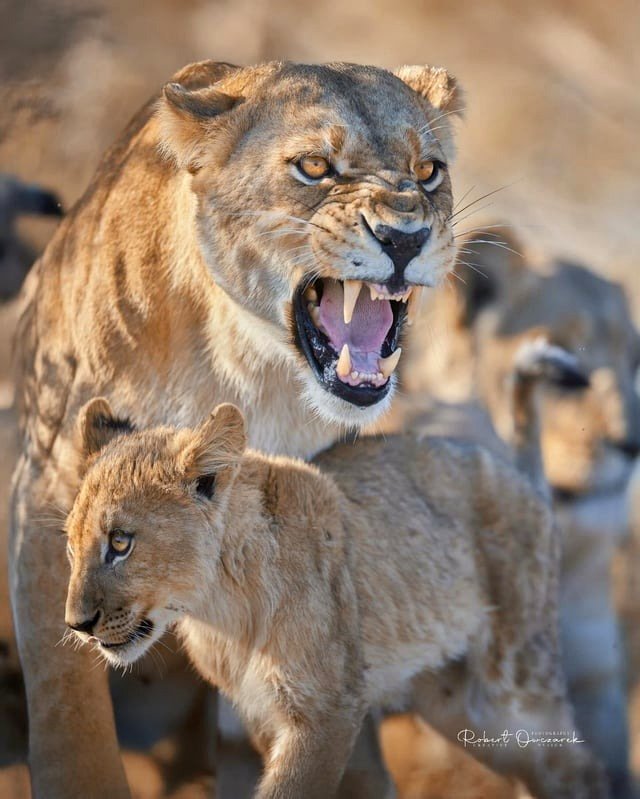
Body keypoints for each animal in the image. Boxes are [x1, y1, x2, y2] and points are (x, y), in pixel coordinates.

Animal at [10, 59, 465, 798]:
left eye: (427, 171)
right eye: (315, 166)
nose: (405, 239)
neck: (252, 371)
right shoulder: (49, 480)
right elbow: (69, 710)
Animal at [63, 397, 608, 799]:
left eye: (120, 543)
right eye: (70, 545)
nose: (76, 624)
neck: (221, 611)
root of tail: (518, 472)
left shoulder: (326, 710)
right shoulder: (268, 713)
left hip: (515, 685)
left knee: (577, 766)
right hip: (458, 707)